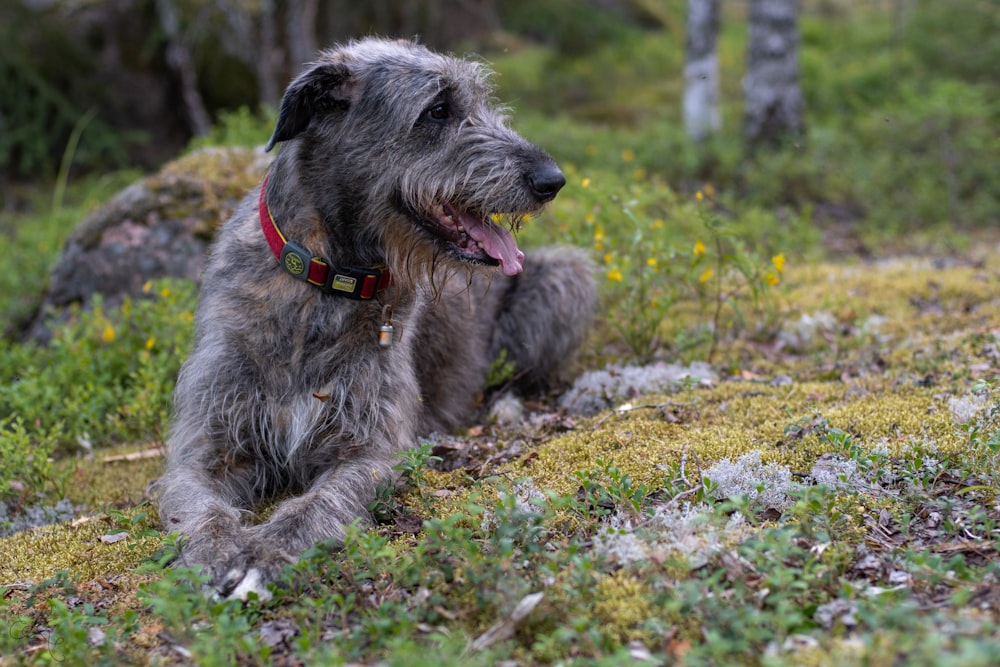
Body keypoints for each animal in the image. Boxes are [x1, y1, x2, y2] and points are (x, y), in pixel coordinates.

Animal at [156, 36, 592, 600]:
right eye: (438, 110)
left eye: (479, 101)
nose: (552, 180)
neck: (326, 283)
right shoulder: (207, 442)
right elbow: (199, 504)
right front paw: (214, 553)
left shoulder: (372, 451)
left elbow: (318, 503)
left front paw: (268, 551)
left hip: (565, 279)